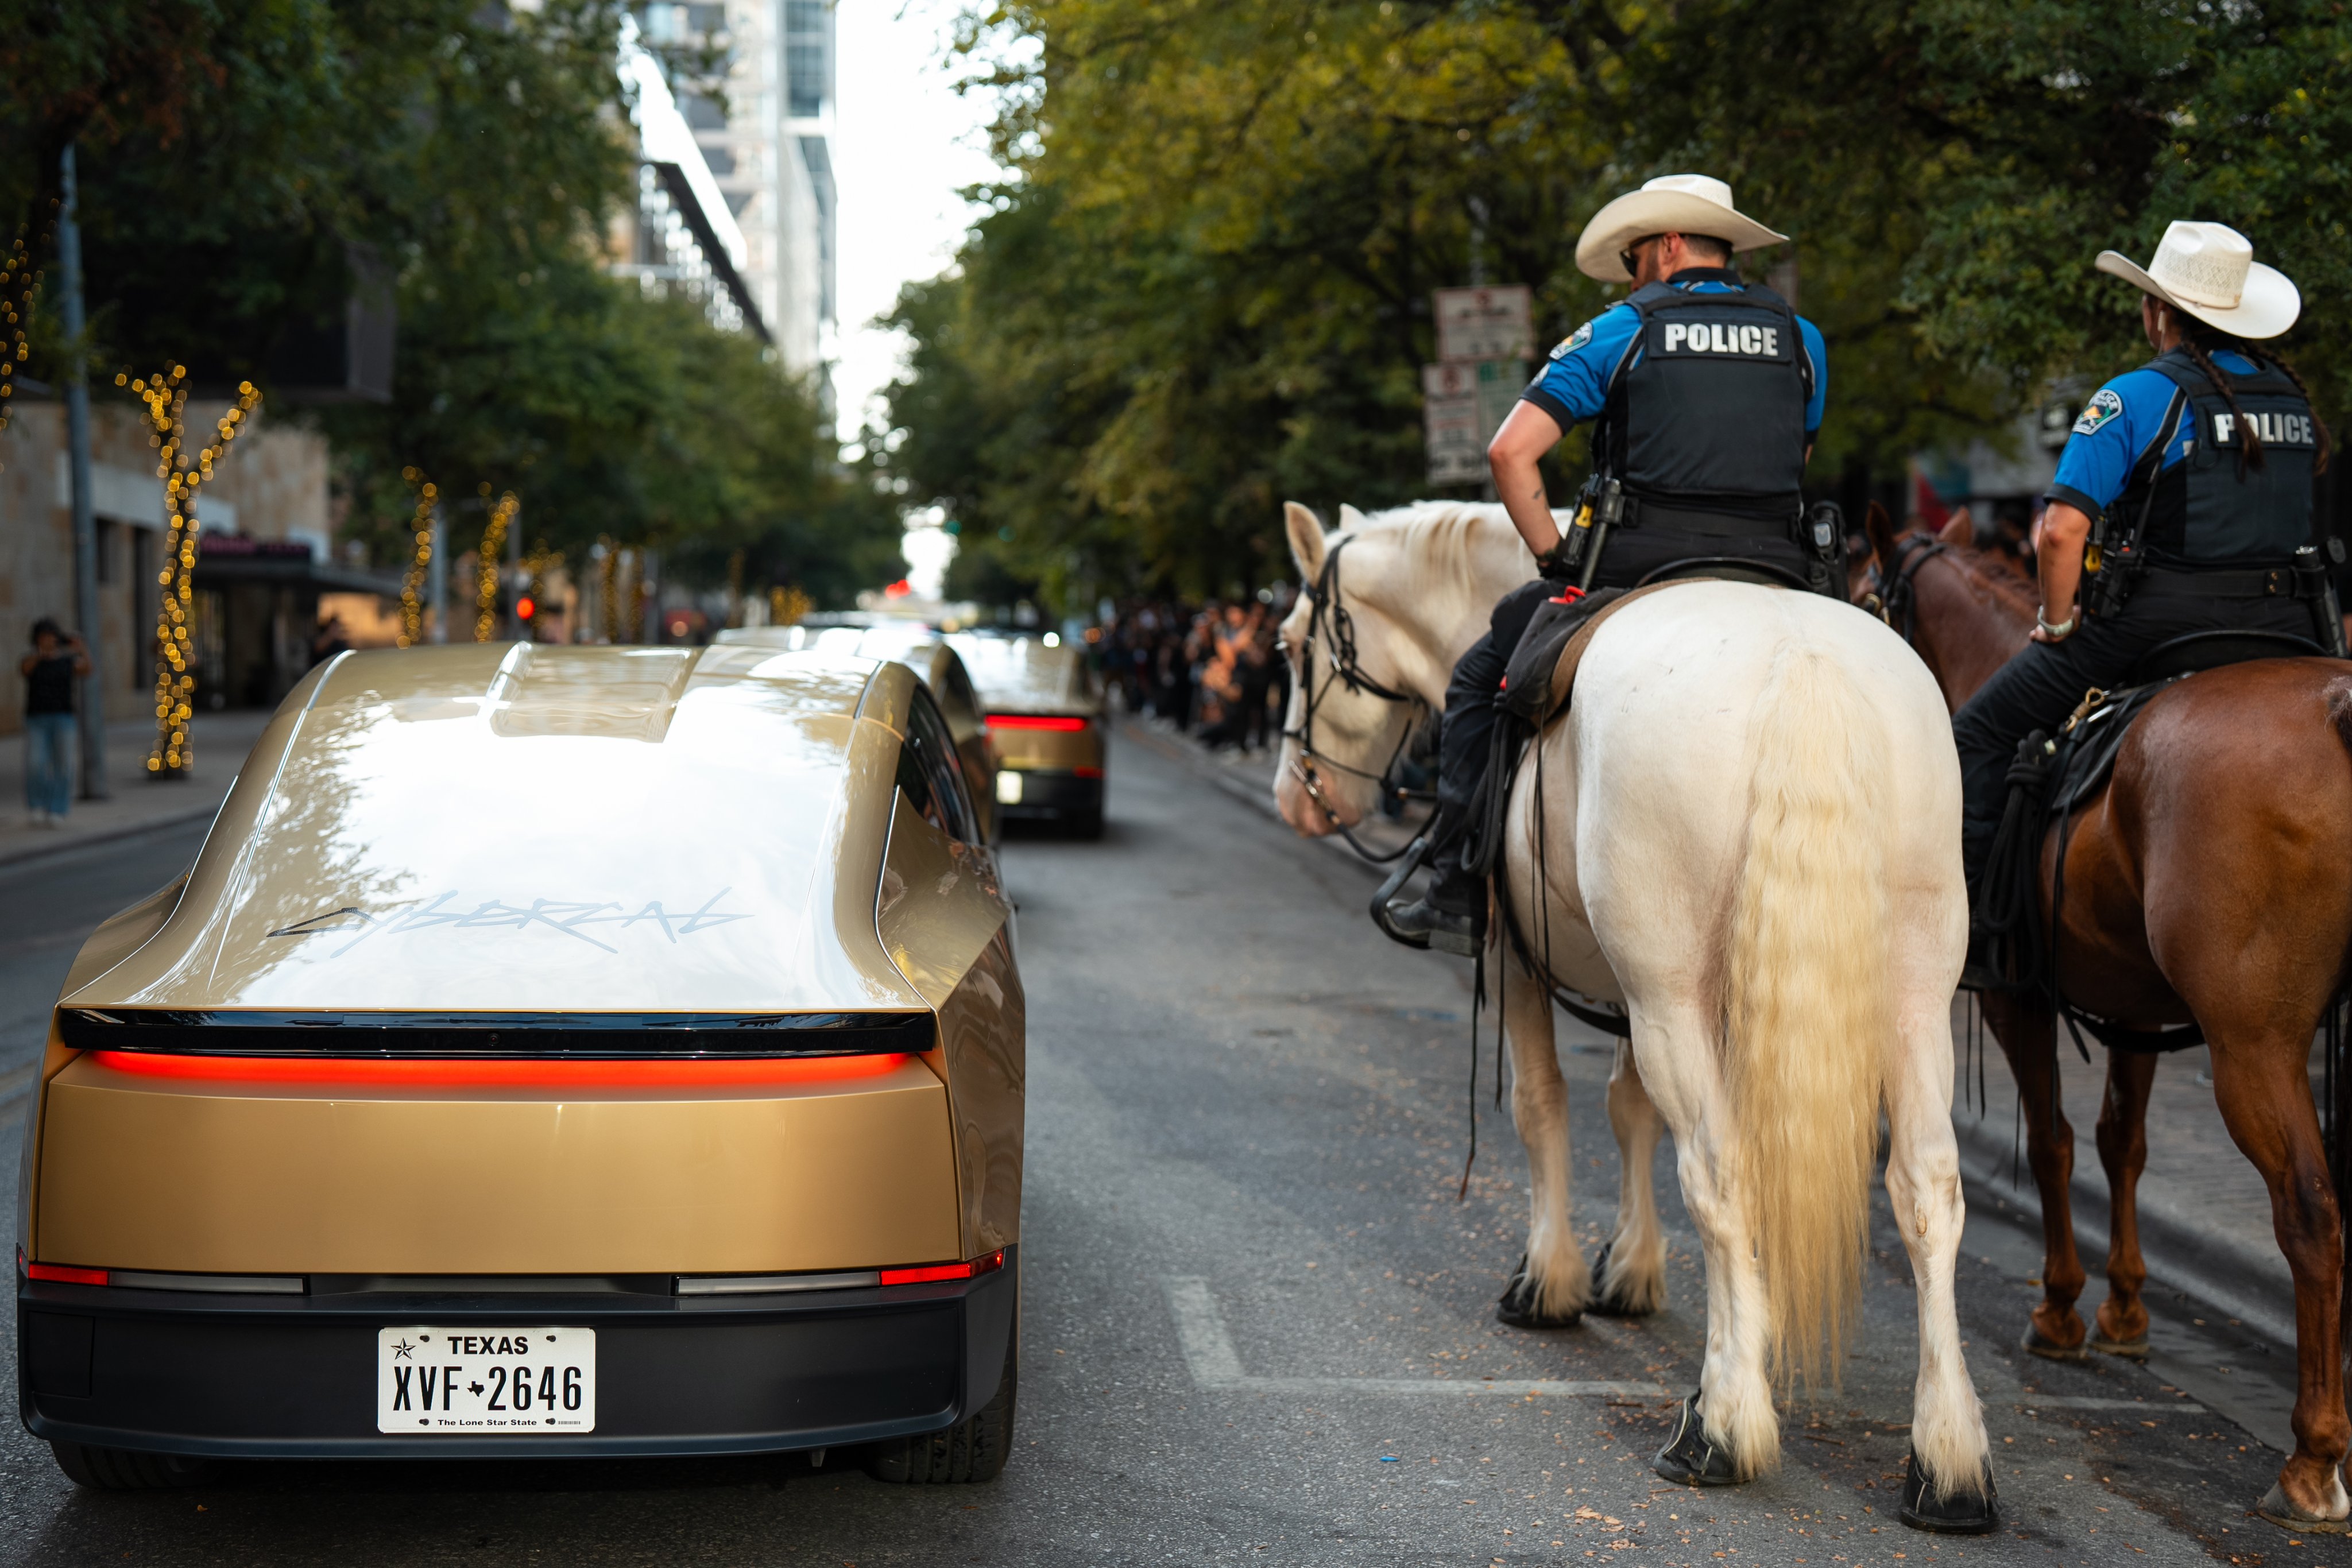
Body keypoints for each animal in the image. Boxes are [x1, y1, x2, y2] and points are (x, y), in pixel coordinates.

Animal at [1272, 499, 1996, 1525]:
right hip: (1909, 988)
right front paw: (1638, 1269)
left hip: (1676, 992)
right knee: (1926, 1185)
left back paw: (1723, 1422)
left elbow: (1543, 1103)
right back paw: (1948, 1456)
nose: (1295, 795)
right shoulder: (1645, 991)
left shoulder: (1521, 955)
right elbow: (1630, 1110)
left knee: (1722, 1172)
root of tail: (1802, 659)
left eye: (1294, 645)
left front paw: (1552, 1278)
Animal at [1862, 505, 2352, 1531]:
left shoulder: (2014, 994)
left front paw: (2060, 1306)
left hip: (2255, 1043)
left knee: (2311, 1210)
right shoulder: (2136, 1009)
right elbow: (2121, 1141)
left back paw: (2314, 1455)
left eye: (1861, 598)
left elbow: (2051, 1141)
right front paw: (2125, 1308)